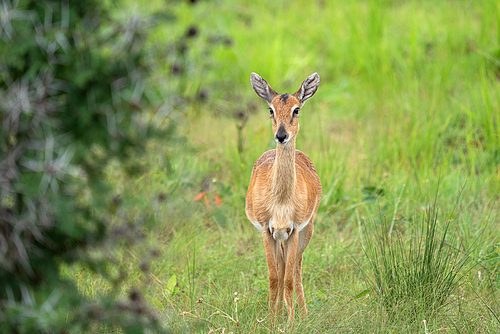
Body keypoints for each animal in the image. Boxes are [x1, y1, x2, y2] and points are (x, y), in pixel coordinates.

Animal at [245, 72, 322, 320]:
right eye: (271, 109)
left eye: (296, 109)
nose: (281, 135)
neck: (279, 200)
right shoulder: (267, 230)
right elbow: (274, 278)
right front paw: (271, 322)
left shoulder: (293, 229)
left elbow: (287, 280)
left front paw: (291, 323)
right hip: (279, 237)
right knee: (281, 269)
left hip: (306, 230)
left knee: (296, 270)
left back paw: (304, 315)